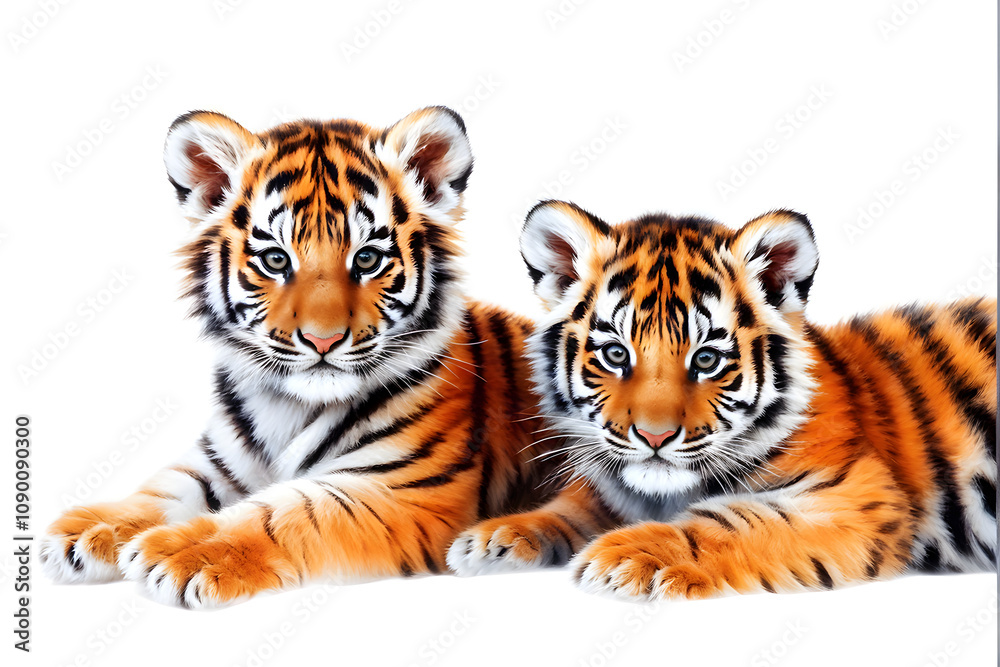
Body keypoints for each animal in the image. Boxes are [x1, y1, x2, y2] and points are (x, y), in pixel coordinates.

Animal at [40, 107, 555, 609]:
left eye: (367, 260)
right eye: (275, 260)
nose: (322, 340)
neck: (288, 407)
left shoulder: (406, 489)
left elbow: (285, 514)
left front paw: (182, 552)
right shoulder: (217, 462)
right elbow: (162, 488)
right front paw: (88, 531)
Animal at [447, 199, 997, 600]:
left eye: (707, 359)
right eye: (615, 353)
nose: (654, 437)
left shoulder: (854, 496)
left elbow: (733, 519)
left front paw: (626, 556)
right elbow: (570, 508)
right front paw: (494, 538)